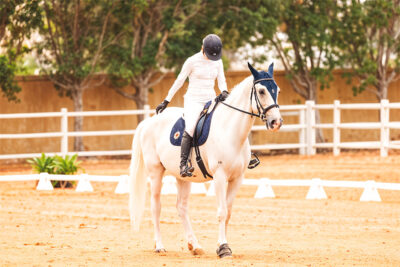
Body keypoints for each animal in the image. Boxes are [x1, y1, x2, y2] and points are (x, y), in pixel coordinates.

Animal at [128, 61, 282, 258]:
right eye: (262, 91)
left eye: (277, 90)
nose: (276, 122)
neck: (229, 129)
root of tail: (149, 121)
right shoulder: (220, 176)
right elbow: (222, 212)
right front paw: (223, 248)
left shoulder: (237, 178)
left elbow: (228, 212)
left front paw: (220, 246)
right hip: (155, 171)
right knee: (156, 206)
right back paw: (160, 246)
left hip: (182, 177)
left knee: (181, 207)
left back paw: (195, 245)